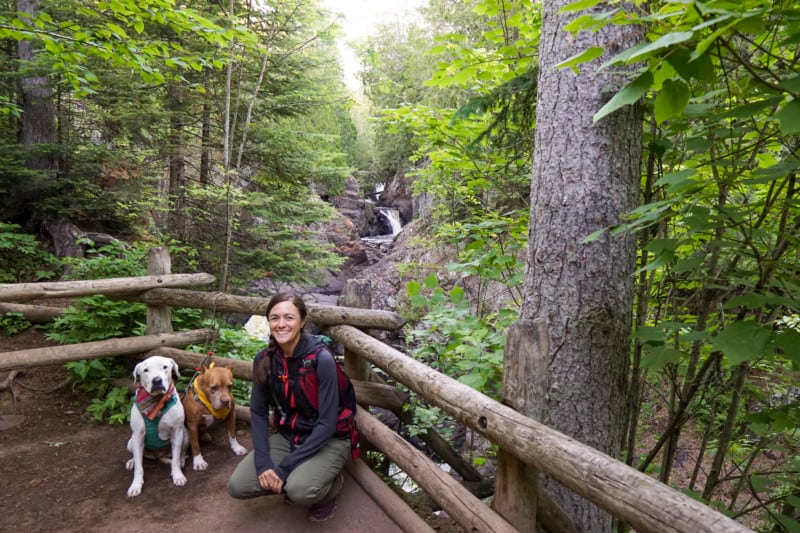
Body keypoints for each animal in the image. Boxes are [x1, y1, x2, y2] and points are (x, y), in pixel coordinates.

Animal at [125, 356, 188, 496]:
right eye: (145, 370)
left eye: (165, 367)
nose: (157, 380)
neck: (157, 403)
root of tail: (158, 455)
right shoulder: (138, 435)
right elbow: (139, 467)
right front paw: (136, 485)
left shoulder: (177, 431)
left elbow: (175, 459)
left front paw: (177, 475)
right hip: (131, 441)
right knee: (136, 456)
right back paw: (131, 461)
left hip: (186, 436)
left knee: (180, 454)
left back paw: (182, 461)